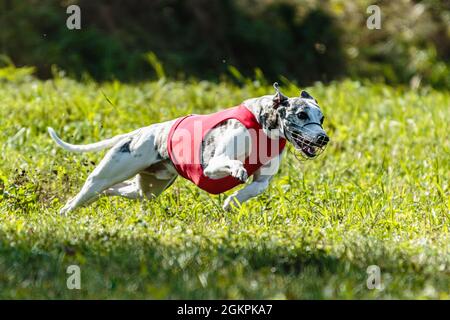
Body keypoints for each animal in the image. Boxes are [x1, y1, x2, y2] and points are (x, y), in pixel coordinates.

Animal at [49, 84, 328, 215]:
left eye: (322, 118)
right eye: (301, 114)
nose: (323, 138)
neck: (263, 125)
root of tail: (136, 133)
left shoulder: (262, 180)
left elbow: (254, 189)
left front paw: (231, 202)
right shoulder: (212, 165)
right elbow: (231, 163)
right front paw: (238, 171)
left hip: (148, 188)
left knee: (116, 190)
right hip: (109, 172)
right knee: (90, 189)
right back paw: (65, 211)